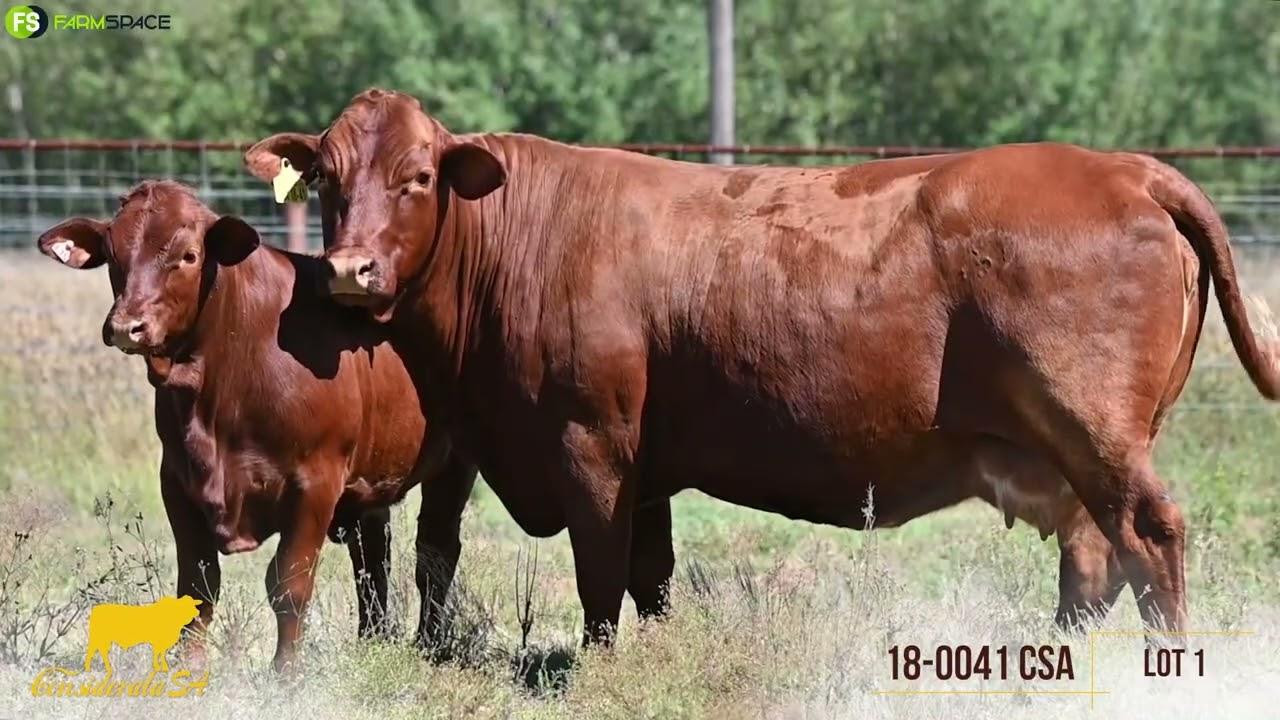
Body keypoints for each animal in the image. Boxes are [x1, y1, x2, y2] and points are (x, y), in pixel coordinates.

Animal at [37, 180, 478, 670]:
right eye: (113, 254)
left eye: (189, 255)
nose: (126, 326)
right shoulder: (176, 479)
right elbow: (198, 585)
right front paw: (188, 666)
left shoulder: (316, 481)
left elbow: (289, 584)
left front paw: (285, 672)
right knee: (372, 552)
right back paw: (373, 639)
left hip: (455, 463)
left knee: (435, 549)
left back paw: (429, 643)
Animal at [245, 89, 1280, 645]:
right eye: (327, 180)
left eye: (418, 178)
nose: (349, 269)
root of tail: (1126, 167)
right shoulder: (644, 468)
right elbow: (649, 578)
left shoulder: (591, 447)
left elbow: (598, 582)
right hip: (1078, 453)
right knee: (1093, 556)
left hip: (1095, 430)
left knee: (1149, 536)